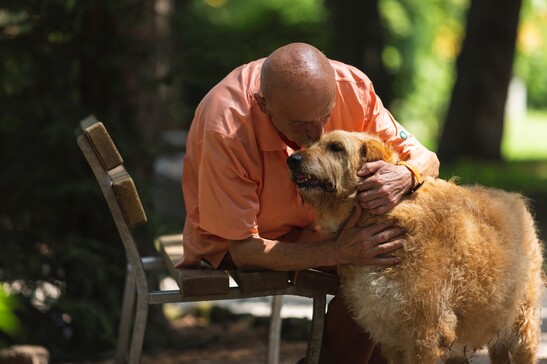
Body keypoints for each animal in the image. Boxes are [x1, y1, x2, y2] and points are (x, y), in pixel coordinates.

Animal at [286, 131, 544, 364]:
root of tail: (517, 199)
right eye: (313, 143)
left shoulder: (426, 335)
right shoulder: (389, 336)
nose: (292, 160)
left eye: (336, 147)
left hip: (522, 332)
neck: (381, 214)